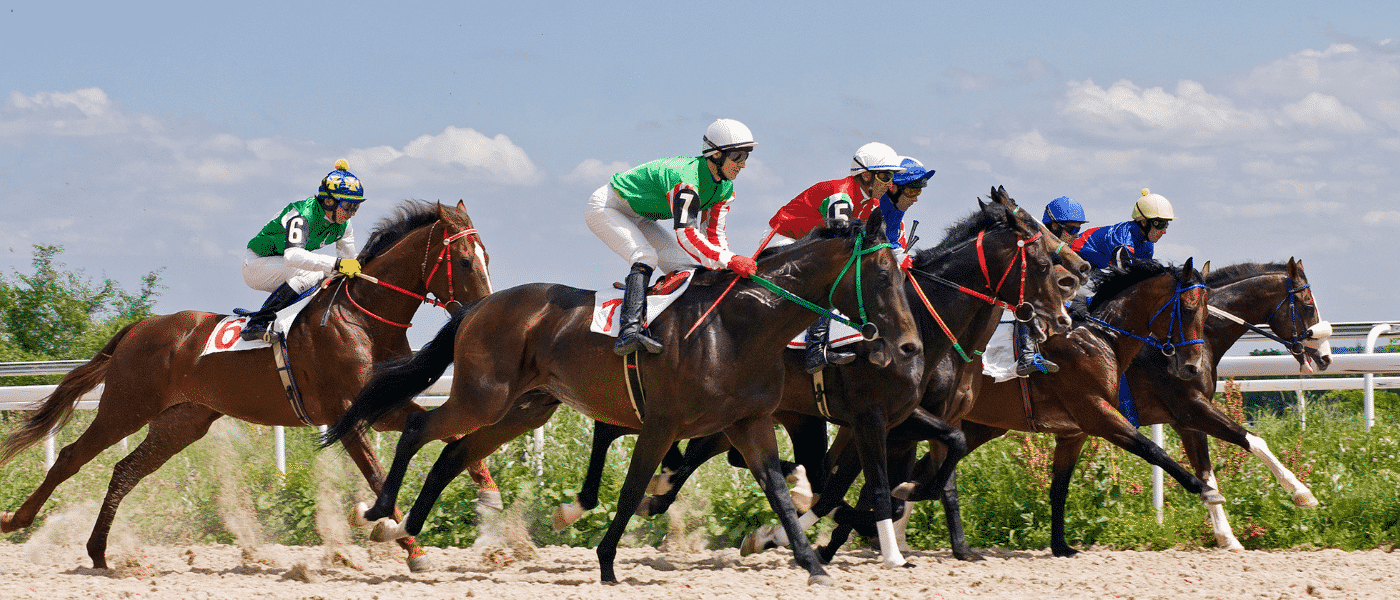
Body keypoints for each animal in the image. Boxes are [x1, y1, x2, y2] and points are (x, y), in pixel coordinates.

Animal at [0, 200, 492, 570]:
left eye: (487, 258)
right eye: (465, 261)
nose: (483, 310)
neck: (364, 319)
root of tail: (140, 327)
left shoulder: (383, 404)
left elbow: (446, 430)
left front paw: (488, 495)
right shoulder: (348, 416)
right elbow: (376, 475)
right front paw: (410, 546)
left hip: (182, 422)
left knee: (124, 472)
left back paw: (99, 553)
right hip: (126, 406)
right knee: (70, 457)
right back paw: (15, 521)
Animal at [320, 213, 924, 584]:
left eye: (903, 275)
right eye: (881, 274)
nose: (909, 345)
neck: (739, 328)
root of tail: (476, 307)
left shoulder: (750, 423)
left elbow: (777, 489)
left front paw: (811, 562)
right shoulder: (661, 424)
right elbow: (634, 489)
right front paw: (608, 561)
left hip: (524, 409)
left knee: (453, 453)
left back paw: (406, 527)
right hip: (482, 397)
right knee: (421, 431)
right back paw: (382, 514)